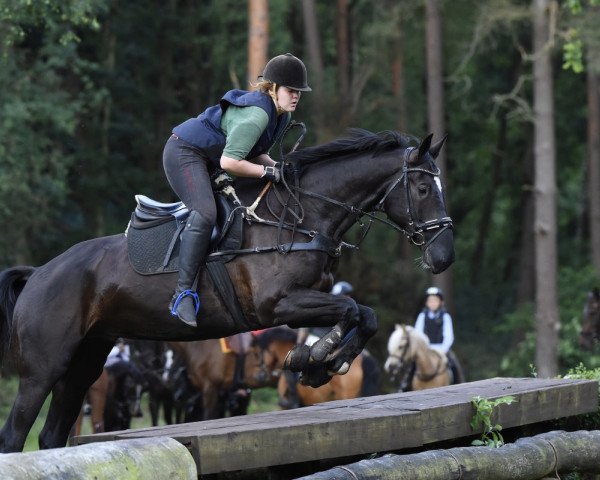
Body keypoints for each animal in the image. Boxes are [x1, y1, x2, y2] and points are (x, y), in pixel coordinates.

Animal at [0, 127, 452, 450]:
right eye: (423, 189)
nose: (443, 256)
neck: (300, 217)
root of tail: (38, 274)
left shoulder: (303, 303)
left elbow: (362, 313)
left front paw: (321, 362)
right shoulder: (278, 306)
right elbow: (350, 309)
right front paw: (317, 357)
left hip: (86, 363)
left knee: (52, 434)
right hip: (44, 369)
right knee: (15, 434)